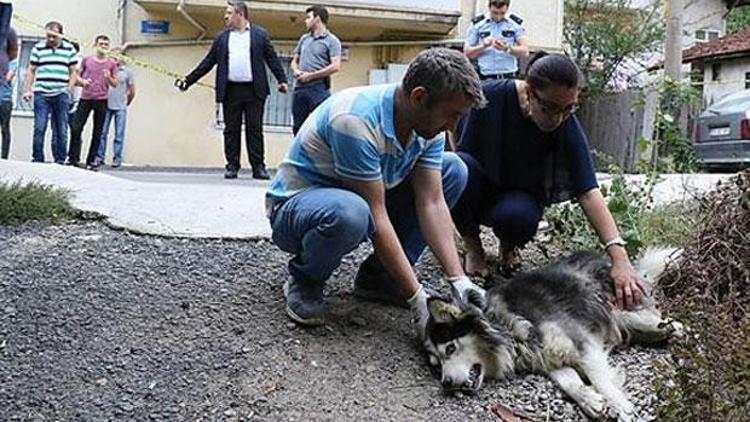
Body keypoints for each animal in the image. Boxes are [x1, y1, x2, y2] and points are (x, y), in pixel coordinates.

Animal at [424, 249, 688, 420]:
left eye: (450, 348)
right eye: (437, 366)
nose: (446, 384)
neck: (505, 326)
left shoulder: (584, 344)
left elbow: (601, 380)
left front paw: (621, 407)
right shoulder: (547, 358)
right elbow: (568, 382)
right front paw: (591, 401)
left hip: (620, 310)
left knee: (661, 319)